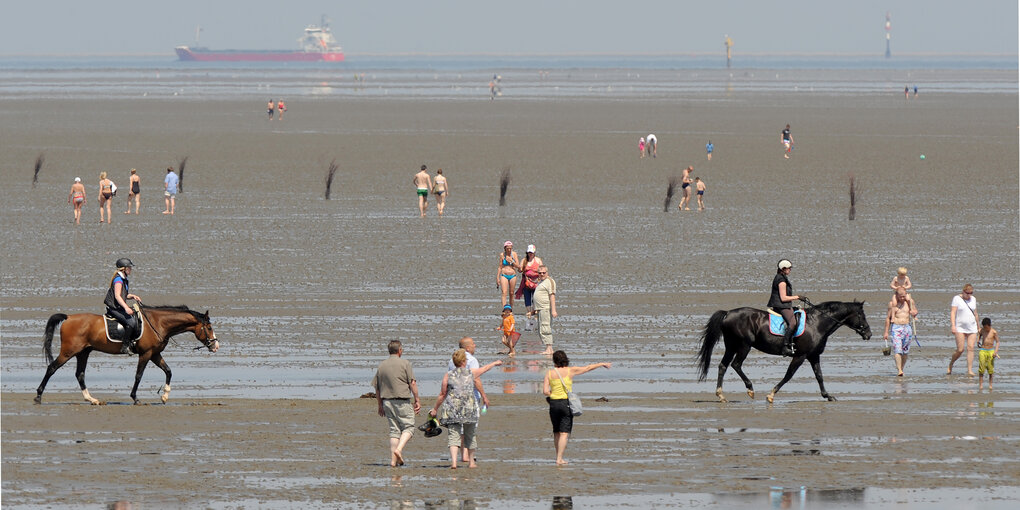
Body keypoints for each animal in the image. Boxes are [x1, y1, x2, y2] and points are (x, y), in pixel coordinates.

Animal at [33, 301, 219, 405]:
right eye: (209, 327)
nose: (215, 346)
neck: (158, 323)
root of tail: (69, 317)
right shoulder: (146, 354)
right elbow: (139, 375)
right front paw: (135, 397)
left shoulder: (155, 354)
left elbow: (168, 371)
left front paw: (165, 396)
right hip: (69, 351)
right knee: (52, 368)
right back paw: (38, 396)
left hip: (83, 352)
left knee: (80, 374)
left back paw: (91, 399)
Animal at [693, 297, 869, 401]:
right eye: (862, 315)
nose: (869, 333)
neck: (817, 323)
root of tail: (728, 313)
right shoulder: (800, 356)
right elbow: (789, 375)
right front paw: (771, 394)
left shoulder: (813, 356)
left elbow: (819, 376)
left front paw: (828, 396)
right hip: (744, 345)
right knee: (736, 364)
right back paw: (750, 389)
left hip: (731, 346)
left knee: (723, 365)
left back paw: (721, 395)